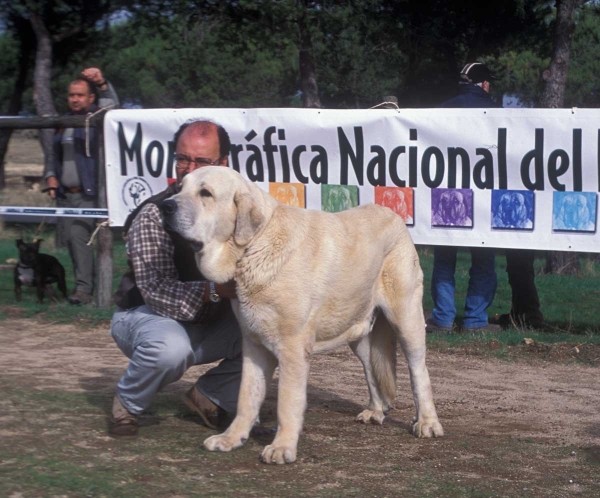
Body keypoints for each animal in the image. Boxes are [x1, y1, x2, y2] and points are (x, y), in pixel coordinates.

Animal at [162, 166, 442, 462]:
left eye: (206, 193)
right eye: (179, 187)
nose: (165, 206)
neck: (253, 246)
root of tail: (395, 217)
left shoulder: (292, 347)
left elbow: (288, 401)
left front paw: (282, 448)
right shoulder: (253, 345)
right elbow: (247, 397)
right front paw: (231, 438)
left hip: (407, 320)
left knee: (418, 371)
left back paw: (427, 422)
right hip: (359, 331)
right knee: (371, 367)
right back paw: (375, 411)